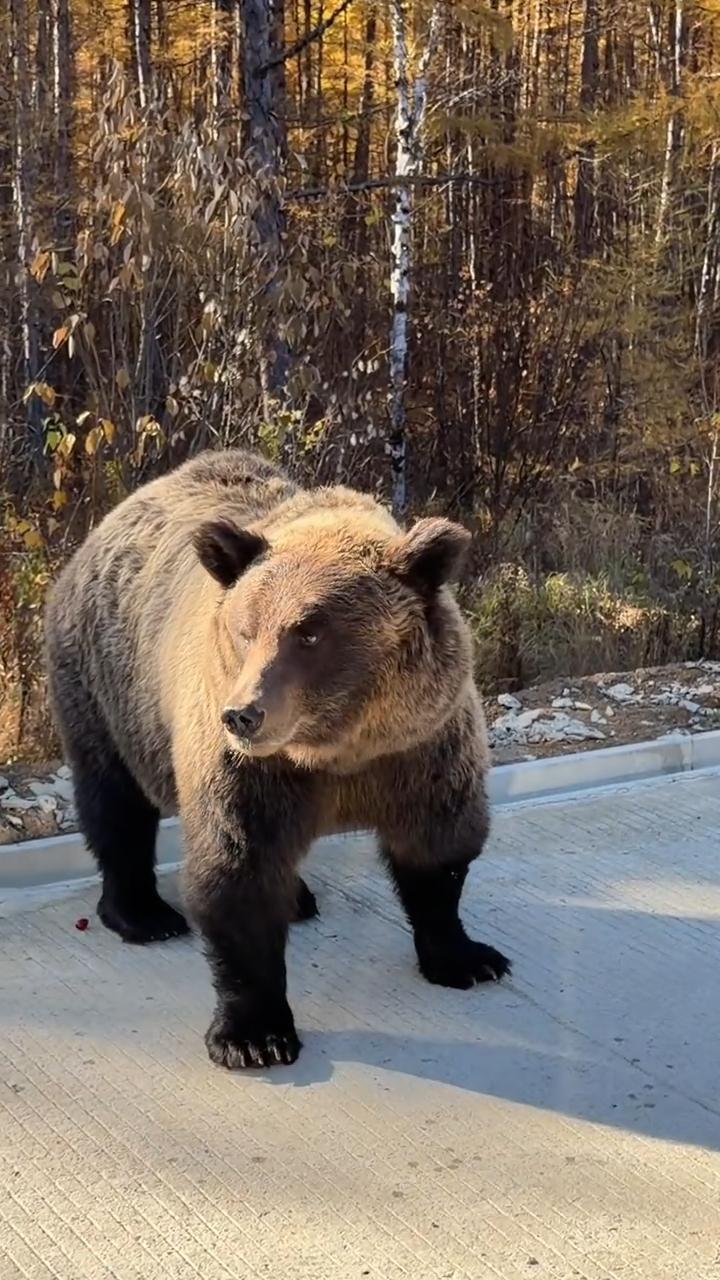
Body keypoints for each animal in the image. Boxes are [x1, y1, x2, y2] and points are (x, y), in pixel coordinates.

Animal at [45, 448, 510, 1069]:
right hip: (108, 686)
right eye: (246, 629)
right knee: (115, 802)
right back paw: (144, 915)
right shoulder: (247, 768)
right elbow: (238, 869)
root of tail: (110, 520)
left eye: (309, 633)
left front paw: (468, 958)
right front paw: (254, 1035)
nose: (243, 714)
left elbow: (439, 849)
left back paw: (298, 898)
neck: (338, 748)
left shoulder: (420, 748)